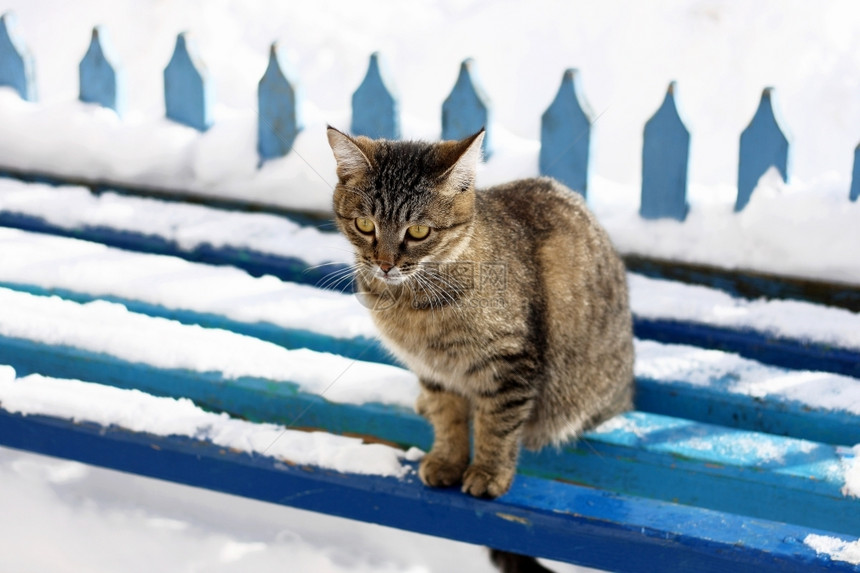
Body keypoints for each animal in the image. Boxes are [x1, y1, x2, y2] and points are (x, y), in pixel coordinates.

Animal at [326, 126, 636, 572]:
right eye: (365, 224)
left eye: (418, 232)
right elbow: (449, 417)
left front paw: (488, 472)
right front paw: (447, 459)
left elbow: (497, 426)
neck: (413, 303)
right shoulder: (433, 370)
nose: (384, 264)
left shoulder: (510, 364)